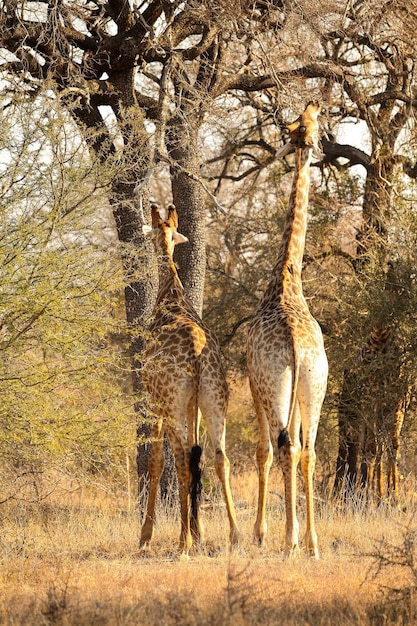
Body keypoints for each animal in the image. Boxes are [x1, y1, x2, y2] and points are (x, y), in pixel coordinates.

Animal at [140, 201, 239, 552]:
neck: (170, 293)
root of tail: (197, 355)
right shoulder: (192, 405)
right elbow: (200, 458)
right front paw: (200, 531)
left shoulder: (154, 401)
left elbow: (156, 460)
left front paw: (146, 535)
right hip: (214, 398)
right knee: (219, 458)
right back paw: (235, 535)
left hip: (174, 403)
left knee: (182, 461)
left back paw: (182, 543)